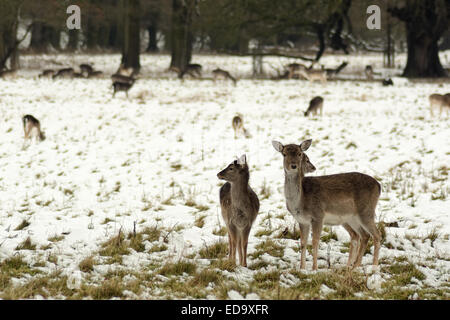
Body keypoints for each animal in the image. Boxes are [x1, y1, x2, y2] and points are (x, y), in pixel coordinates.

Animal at [272, 140, 382, 270]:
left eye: (300, 154)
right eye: (284, 154)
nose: (293, 166)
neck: (300, 201)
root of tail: (379, 186)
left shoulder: (318, 215)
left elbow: (315, 241)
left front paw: (314, 268)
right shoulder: (302, 220)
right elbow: (303, 243)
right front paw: (302, 268)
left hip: (366, 211)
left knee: (376, 235)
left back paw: (373, 266)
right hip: (351, 218)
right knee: (362, 235)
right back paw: (352, 266)